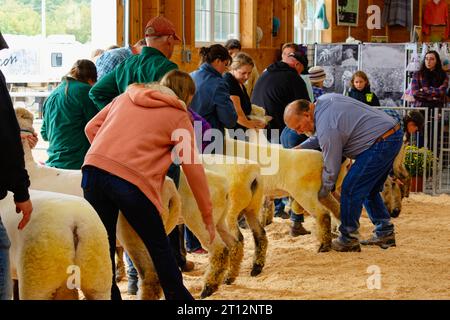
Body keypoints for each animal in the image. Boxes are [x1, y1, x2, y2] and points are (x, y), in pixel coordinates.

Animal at [200, 154, 268, 284]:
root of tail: (254, 175)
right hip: (252, 208)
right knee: (260, 233)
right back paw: (256, 268)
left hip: (230, 212)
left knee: (238, 240)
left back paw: (229, 277)